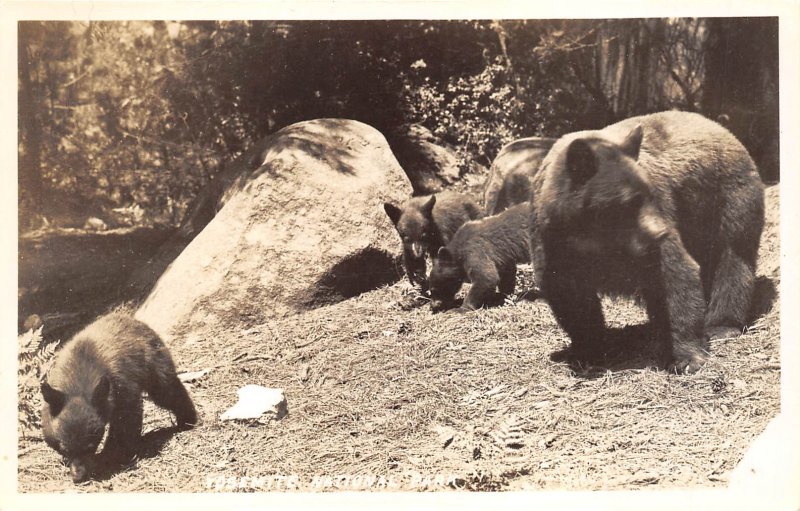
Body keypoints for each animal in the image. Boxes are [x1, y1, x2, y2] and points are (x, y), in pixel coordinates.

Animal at [41, 314, 197, 486]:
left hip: (155, 366)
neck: (78, 380)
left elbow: (124, 426)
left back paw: (187, 420)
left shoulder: (122, 390)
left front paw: (108, 457)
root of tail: (132, 320)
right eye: (65, 448)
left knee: (169, 391)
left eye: (90, 447)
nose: (78, 478)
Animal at [528, 112, 764, 374]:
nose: (659, 233)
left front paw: (686, 357)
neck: (594, 239)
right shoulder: (554, 243)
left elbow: (674, 276)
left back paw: (722, 325)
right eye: (629, 202)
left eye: (648, 194)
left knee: (733, 255)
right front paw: (587, 352)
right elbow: (569, 295)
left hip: (725, 196)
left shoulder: (659, 224)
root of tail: (719, 127)